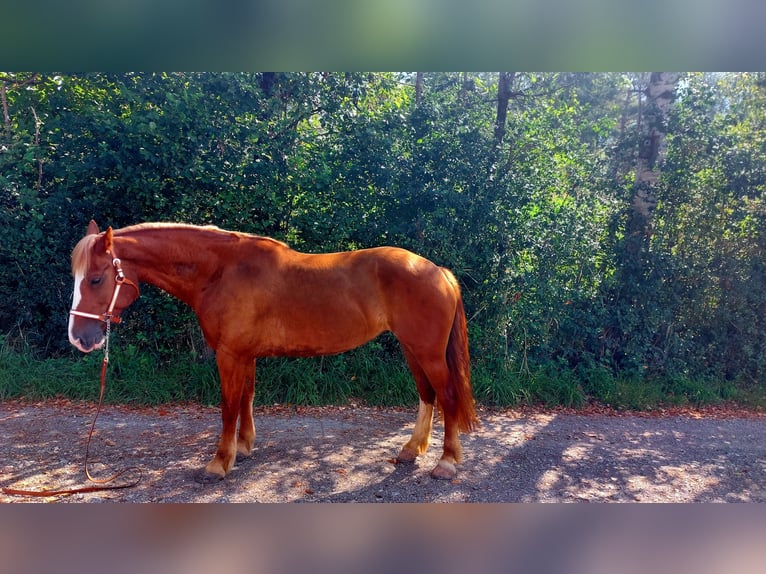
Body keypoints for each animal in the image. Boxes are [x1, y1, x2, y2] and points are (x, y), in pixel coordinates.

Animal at [68, 220, 478, 481]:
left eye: (96, 279)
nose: (79, 338)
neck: (220, 271)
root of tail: (438, 271)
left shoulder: (229, 355)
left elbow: (228, 406)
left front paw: (219, 463)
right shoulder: (245, 354)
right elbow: (246, 398)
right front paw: (244, 446)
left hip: (427, 352)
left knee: (447, 395)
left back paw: (446, 463)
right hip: (412, 348)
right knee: (427, 395)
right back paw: (411, 449)